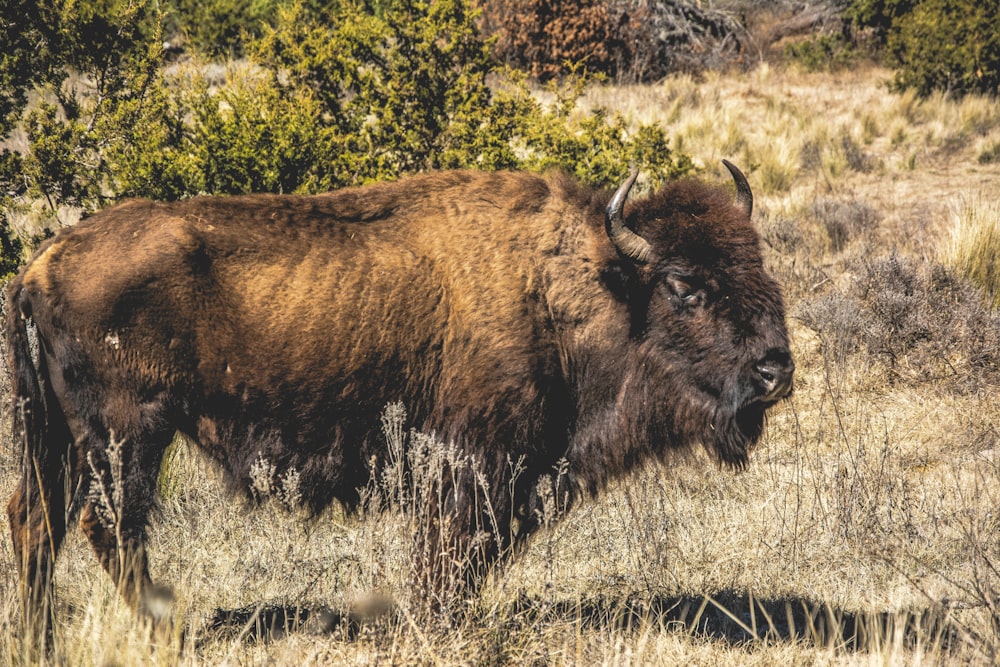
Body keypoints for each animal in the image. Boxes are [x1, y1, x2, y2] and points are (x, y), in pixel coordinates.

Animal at [5, 163, 788, 632]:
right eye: (686, 286)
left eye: (760, 266)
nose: (776, 369)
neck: (577, 285)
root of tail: (40, 264)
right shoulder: (471, 467)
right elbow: (449, 557)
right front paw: (435, 625)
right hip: (125, 434)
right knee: (110, 526)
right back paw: (161, 629)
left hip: (63, 437)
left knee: (36, 520)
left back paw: (42, 639)